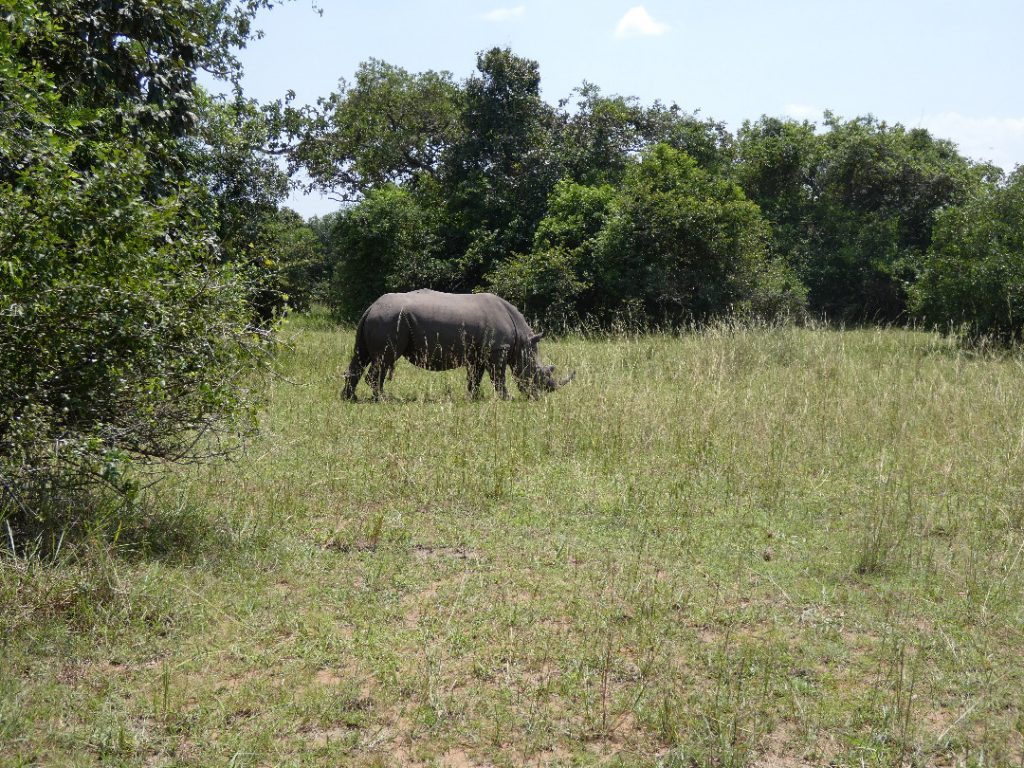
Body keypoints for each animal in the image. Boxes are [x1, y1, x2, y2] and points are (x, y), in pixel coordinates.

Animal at [342, 289, 573, 400]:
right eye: (538, 374)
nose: (539, 396)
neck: (522, 341)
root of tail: (370, 308)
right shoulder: (498, 348)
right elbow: (498, 375)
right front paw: (507, 398)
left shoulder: (480, 352)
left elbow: (475, 377)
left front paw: (473, 397)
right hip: (388, 320)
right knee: (383, 360)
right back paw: (384, 399)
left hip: (379, 320)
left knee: (360, 357)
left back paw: (350, 398)